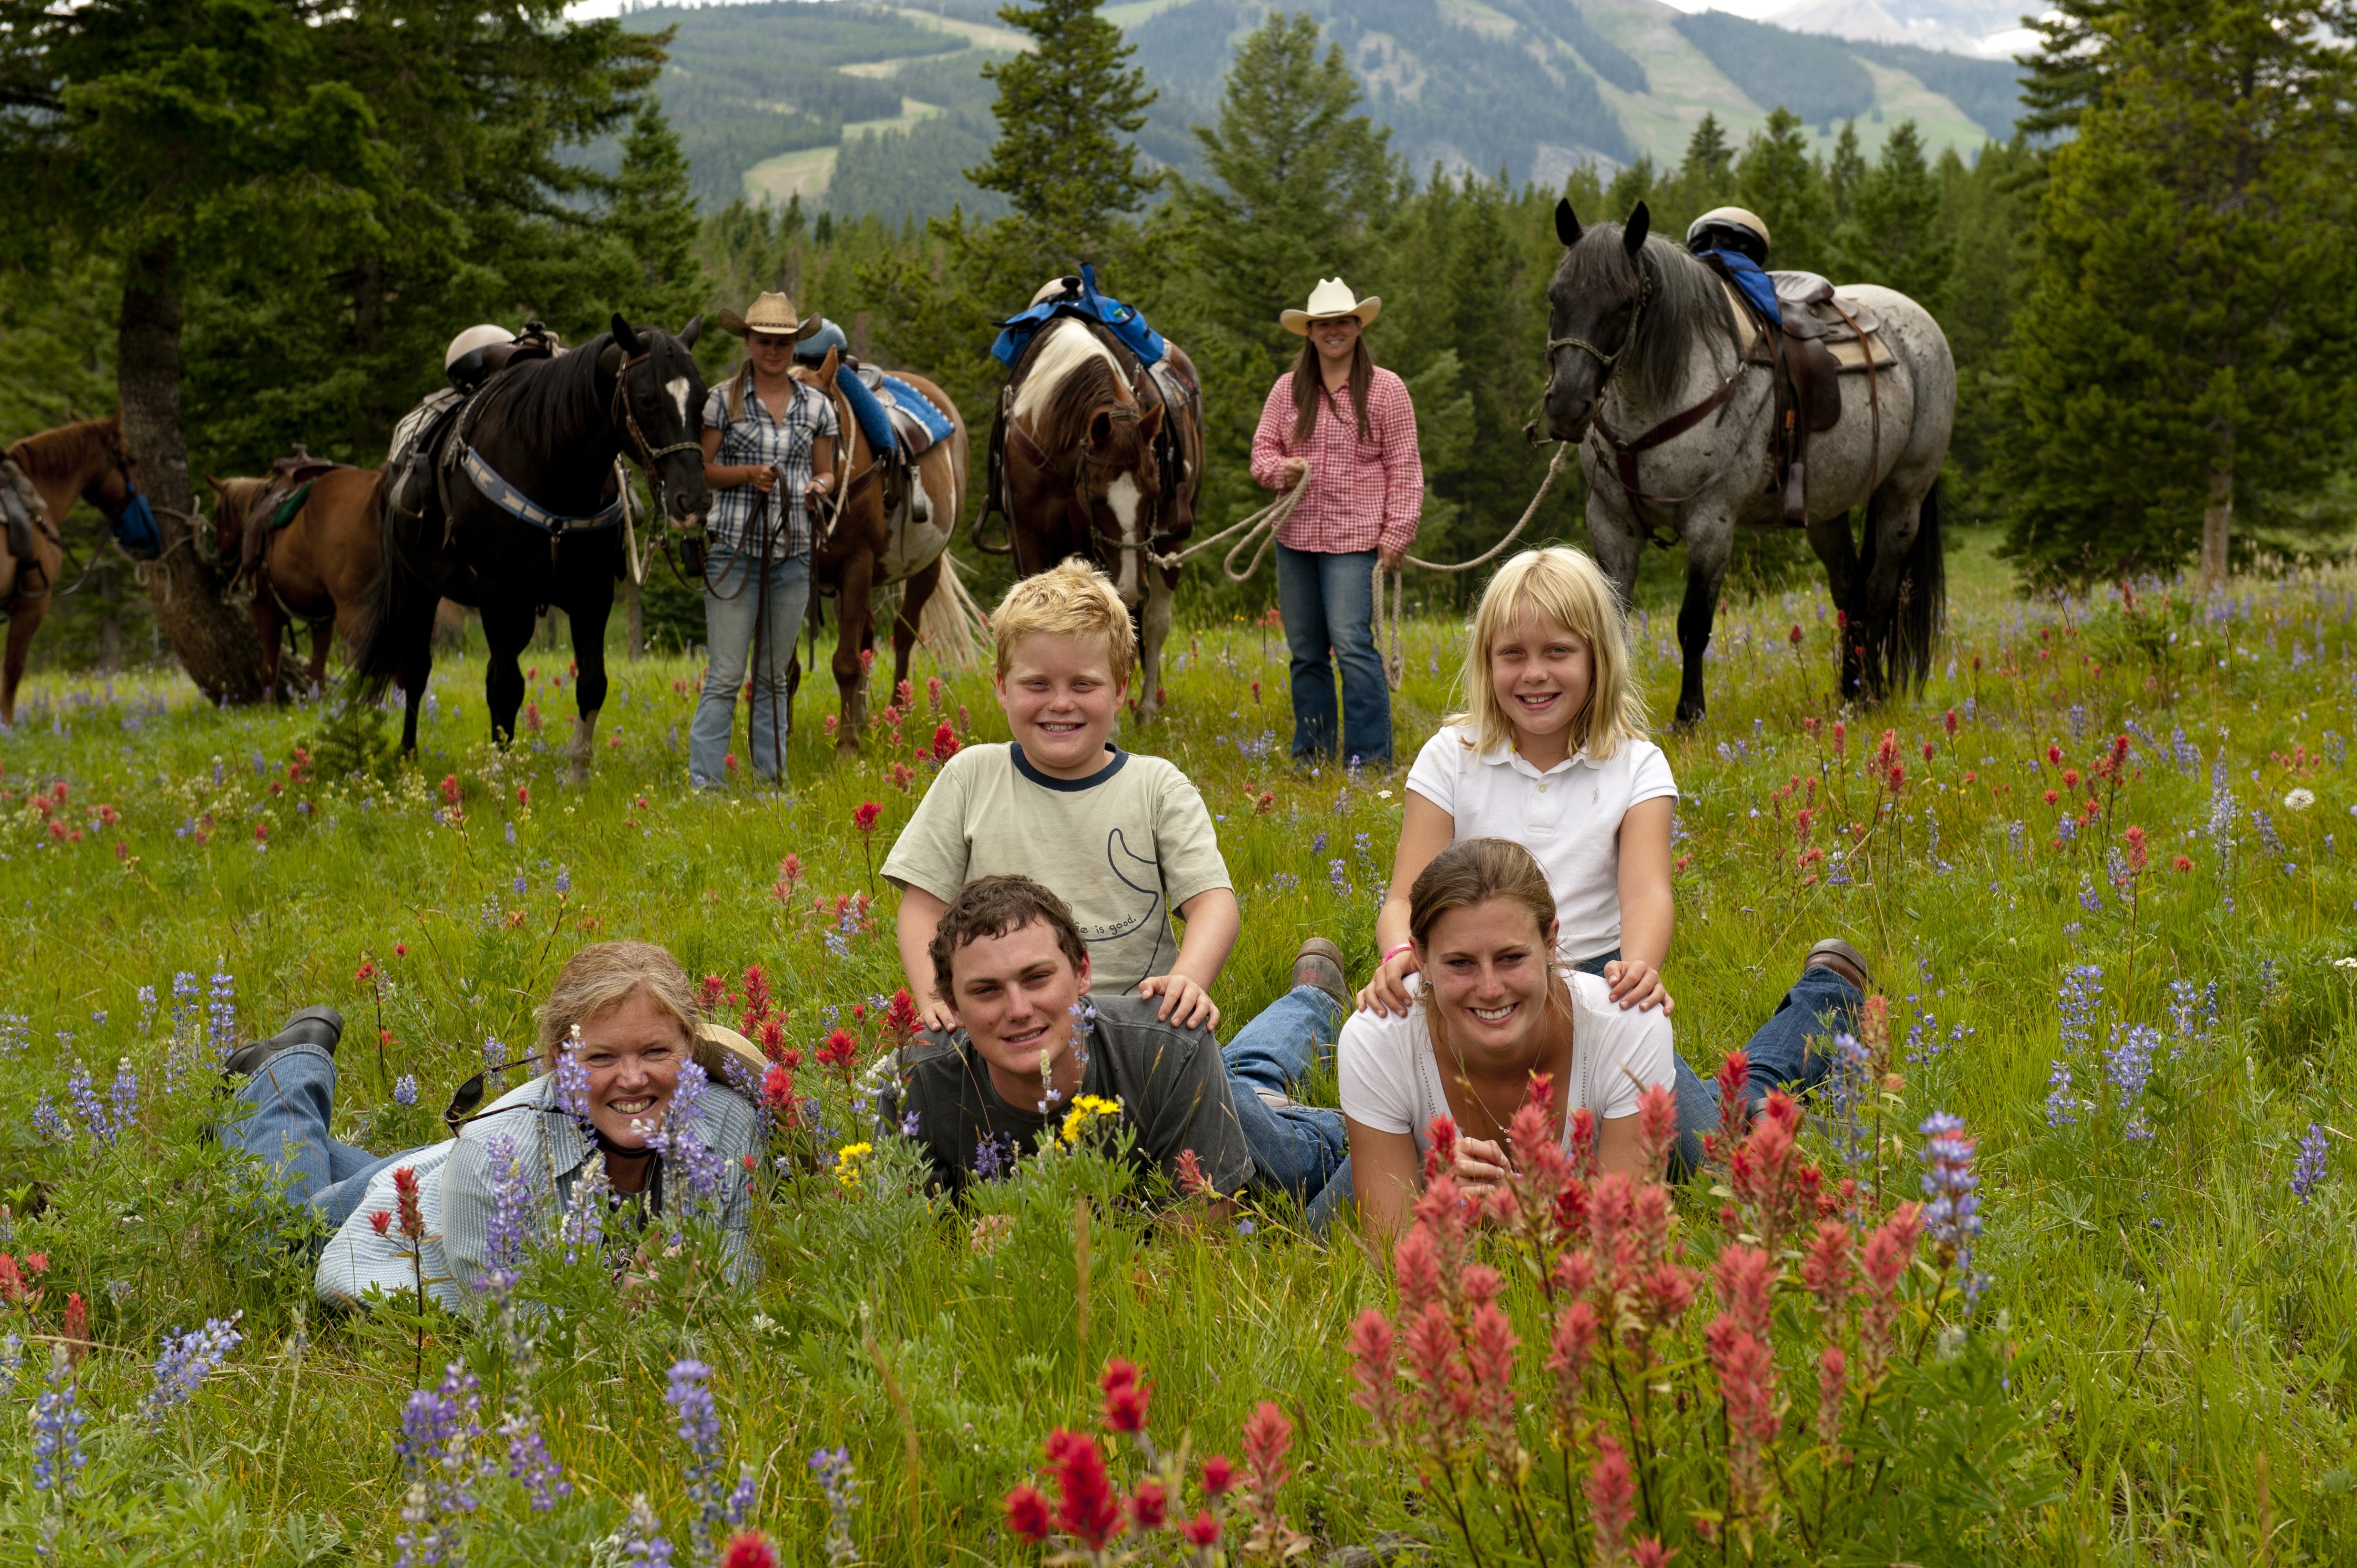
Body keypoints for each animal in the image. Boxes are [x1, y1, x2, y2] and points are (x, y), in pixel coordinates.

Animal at [207, 464, 386, 698]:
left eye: (217, 515)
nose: (223, 568)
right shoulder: (321, 619)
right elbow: (316, 673)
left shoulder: (265, 610)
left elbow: (269, 669)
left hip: (356, 610)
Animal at [344, 318, 702, 782]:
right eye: (647, 400)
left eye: (703, 398)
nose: (692, 499)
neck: (551, 463)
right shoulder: (499, 595)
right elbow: (507, 687)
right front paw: (503, 776)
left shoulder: (592, 594)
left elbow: (591, 683)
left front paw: (577, 775)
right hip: (417, 588)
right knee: (417, 670)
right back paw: (409, 757)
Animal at [787, 349, 971, 754]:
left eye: (823, 430)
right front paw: (781, 738)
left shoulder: (857, 563)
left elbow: (845, 662)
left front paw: (847, 746)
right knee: (868, 635)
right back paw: (864, 715)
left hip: (926, 566)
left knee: (903, 632)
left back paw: (897, 713)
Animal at [1536, 199, 1960, 726]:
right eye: (1556, 298)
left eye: (1623, 304)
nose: (1566, 407)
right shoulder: (1611, 523)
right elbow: (1609, 620)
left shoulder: (1711, 525)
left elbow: (1693, 623)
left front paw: (1688, 716)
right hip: (1827, 511)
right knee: (1850, 593)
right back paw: (1851, 692)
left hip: (1903, 497)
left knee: (1881, 592)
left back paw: (1872, 697)